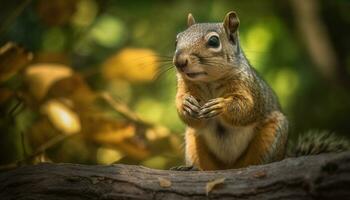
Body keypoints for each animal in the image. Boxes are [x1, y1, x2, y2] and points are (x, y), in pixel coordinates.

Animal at [172, 10, 348, 170]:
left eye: (214, 41)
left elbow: (247, 109)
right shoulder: (185, 86)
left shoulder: (251, 88)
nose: (179, 61)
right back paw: (192, 168)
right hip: (193, 141)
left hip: (271, 135)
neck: (209, 81)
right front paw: (186, 104)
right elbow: (191, 117)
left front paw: (221, 105)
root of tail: (230, 167)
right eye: (177, 40)